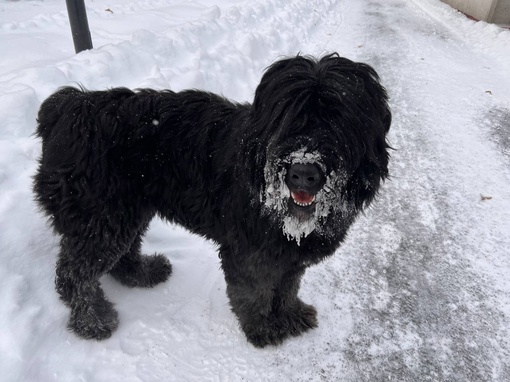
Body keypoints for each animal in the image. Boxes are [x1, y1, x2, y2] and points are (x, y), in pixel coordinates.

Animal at [33, 53, 390, 350]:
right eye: (286, 118)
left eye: (337, 120)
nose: (302, 173)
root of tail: (69, 107)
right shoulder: (249, 253)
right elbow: (254, 292)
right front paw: (262, 328)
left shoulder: (288, 255)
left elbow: (287, 286)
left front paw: (289, 314)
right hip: (101, 216)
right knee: (74, 273)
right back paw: (92, 320)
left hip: (127, 211)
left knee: (122, 254)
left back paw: (143, 273)